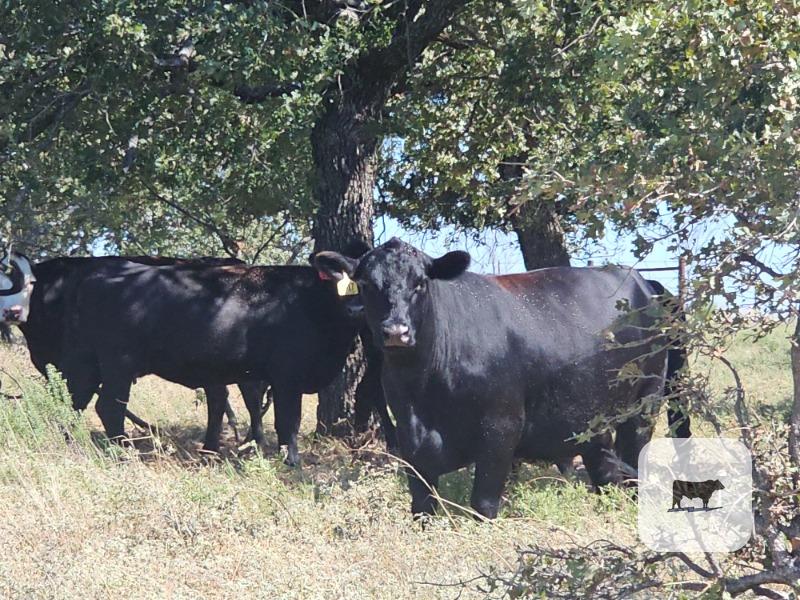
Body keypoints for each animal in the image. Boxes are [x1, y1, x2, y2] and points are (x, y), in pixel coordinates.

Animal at [60, 254, 396, 466]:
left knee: (75, 401)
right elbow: (288, 421)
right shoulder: (286, 377)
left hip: (89, 365)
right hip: (119, 363)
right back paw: (121, 452)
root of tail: (100, 274)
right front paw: (292, 462)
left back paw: (68, 442)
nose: (358, 310)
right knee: (108, 407)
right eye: (359, 282)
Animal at [314, 237, 676, 519]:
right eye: (366, 285)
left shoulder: (501, 432)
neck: (425, 387)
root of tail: (643, 283)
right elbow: (422, 507)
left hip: (646, 402)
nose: (396, 331)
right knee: (604, 469)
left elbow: (483, 504)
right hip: (590, 413)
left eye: (420, 283)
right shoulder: (410, 441)